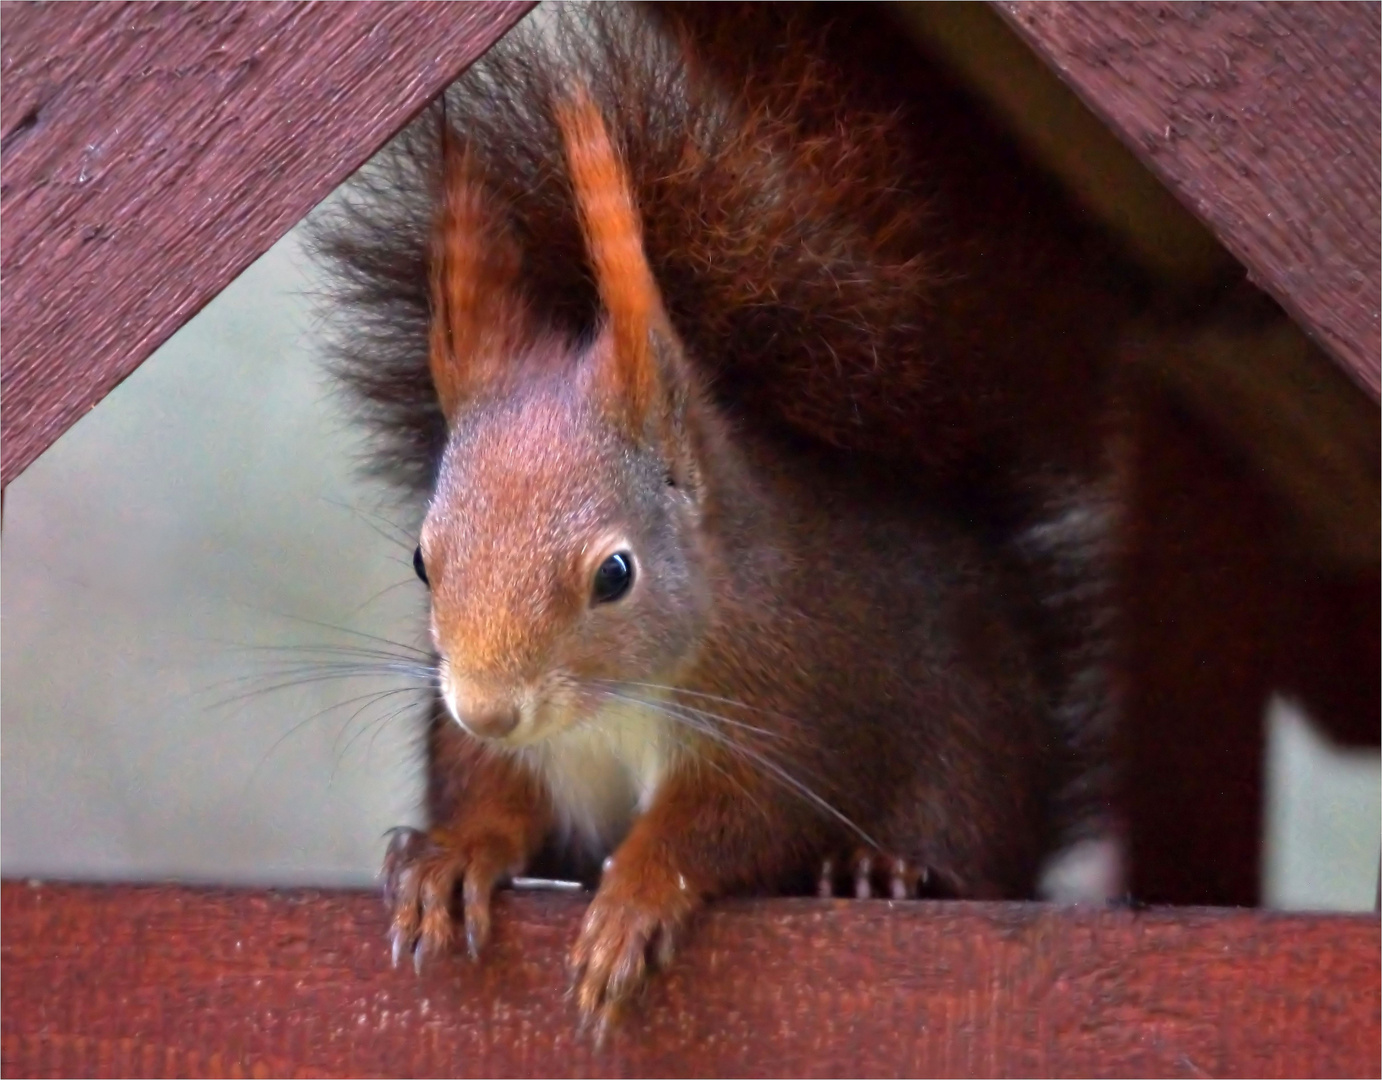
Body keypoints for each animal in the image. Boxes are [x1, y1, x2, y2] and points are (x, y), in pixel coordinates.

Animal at [313, 0, 1133, 1028]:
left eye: (615, 573)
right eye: (424, 560)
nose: (489, 709)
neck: (612, 707)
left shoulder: (778, 718)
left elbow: (719, 829)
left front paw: (633, 902)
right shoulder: (519, 753)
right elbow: (496, 794)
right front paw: (452, 857)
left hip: (972, 773)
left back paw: (881, 869)